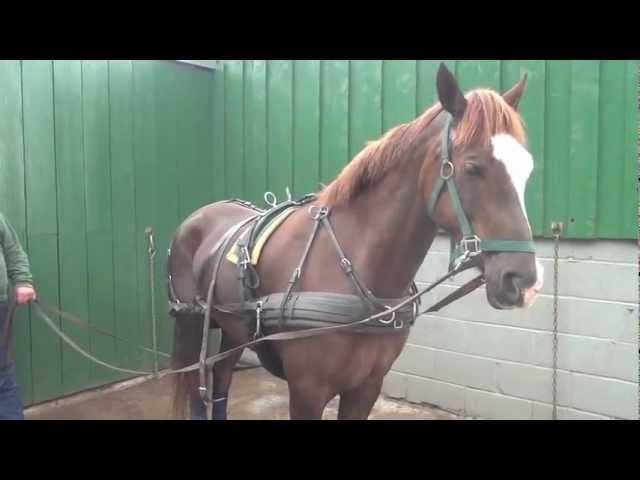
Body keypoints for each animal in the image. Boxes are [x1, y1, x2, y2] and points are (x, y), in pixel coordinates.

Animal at [168, 64, 544, 420]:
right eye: (472, 167)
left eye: (528, 169)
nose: (525, 280)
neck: (355, 267)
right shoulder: (306, 392)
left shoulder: (367, 387)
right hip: (191, 324)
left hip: (232, 331)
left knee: (221, 378)